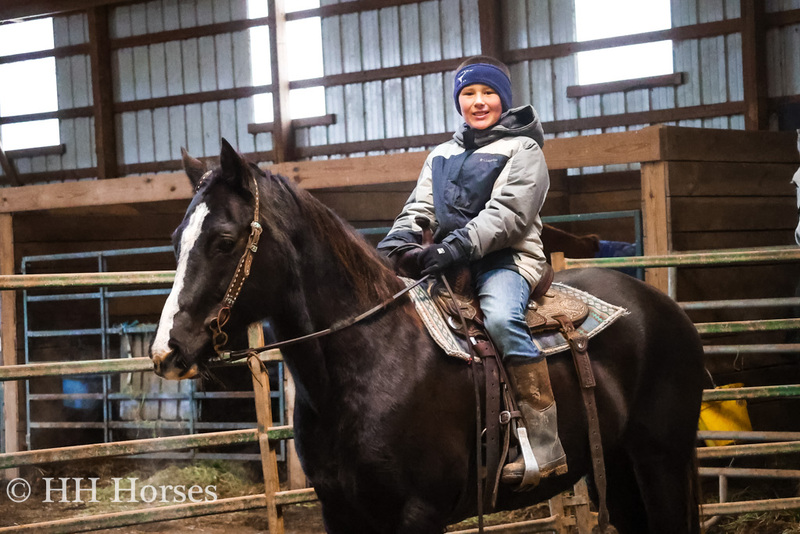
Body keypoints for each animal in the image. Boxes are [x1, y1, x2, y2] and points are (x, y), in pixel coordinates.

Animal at [152, 142, 708, 534]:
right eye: (177, 240)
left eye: (224, 240)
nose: (168, 351)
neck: (372, 361)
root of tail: (667, 310)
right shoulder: (341, 512)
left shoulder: (419, 512)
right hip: (616, 467)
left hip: (660, 460)